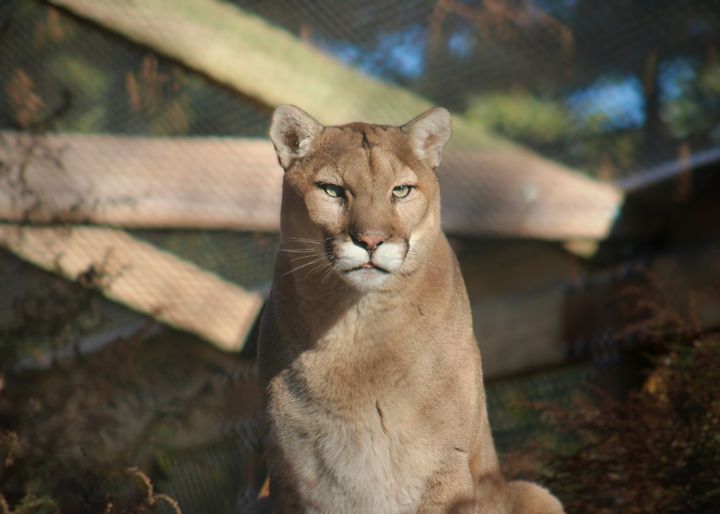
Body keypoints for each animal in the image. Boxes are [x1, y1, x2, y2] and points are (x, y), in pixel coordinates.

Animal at [256, 105, 564, 512]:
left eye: (400, 190)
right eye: (332, 190)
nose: (371, 241)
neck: (358, 328)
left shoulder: (444, 467)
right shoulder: (291, 478)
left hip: (532, 493)